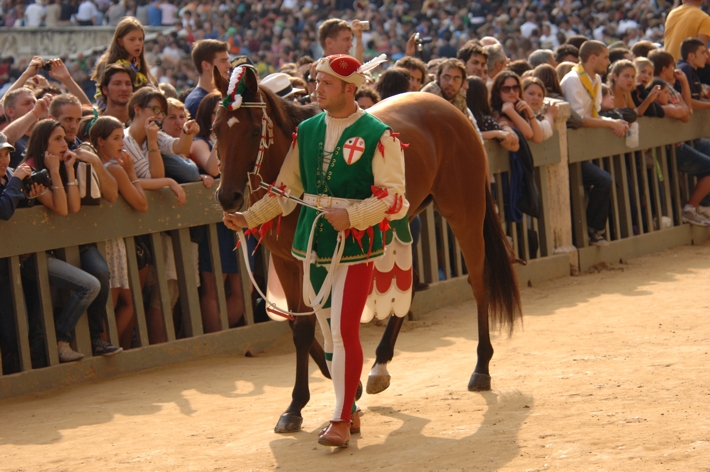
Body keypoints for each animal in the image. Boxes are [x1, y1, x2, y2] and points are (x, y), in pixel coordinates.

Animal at [211, 67, 524, 436]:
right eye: (215, 129)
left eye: (252, 129)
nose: (227, 196)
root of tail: (451, 110)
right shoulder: (286, 260)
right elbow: (300, 327)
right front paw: (318, 395)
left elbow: (313, 326)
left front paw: (308, 400)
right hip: (402, 219)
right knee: (410, 286)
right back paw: (379, 366)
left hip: (464, 211)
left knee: (478, 282)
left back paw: (481, 367)